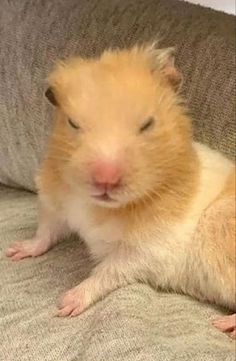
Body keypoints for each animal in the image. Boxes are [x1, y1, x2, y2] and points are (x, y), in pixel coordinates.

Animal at [6, 44, 236, 338]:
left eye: (147, 124)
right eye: (73, 123)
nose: (105, 180)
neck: (96, 206)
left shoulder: (145, 252)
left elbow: (106, 272)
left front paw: (65, 304)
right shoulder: (55, 204)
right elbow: (44, 233)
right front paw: (14, 251)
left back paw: (223, 325)